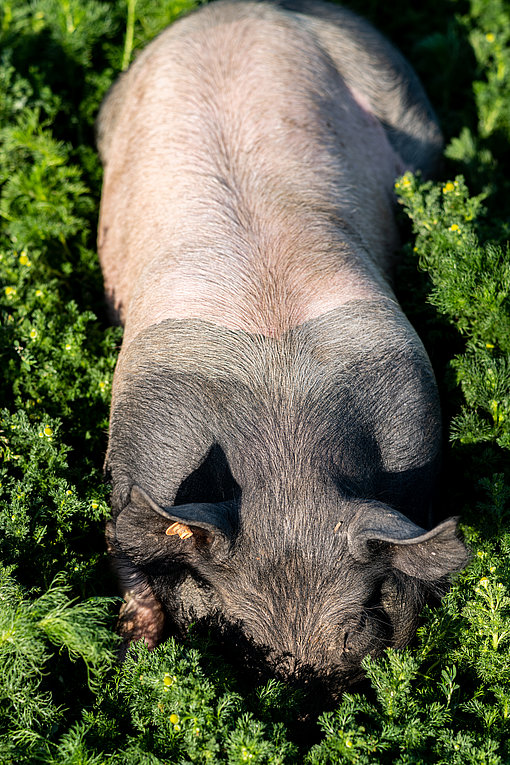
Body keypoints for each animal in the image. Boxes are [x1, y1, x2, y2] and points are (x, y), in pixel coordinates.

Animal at [96, 0, 470, 688]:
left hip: (394, 88)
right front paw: (137, 648)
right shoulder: (141, 458)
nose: (311, 678)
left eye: (363, 612)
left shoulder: (413, 431)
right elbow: (130, 552)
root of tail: (235, 10)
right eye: (239, 632)